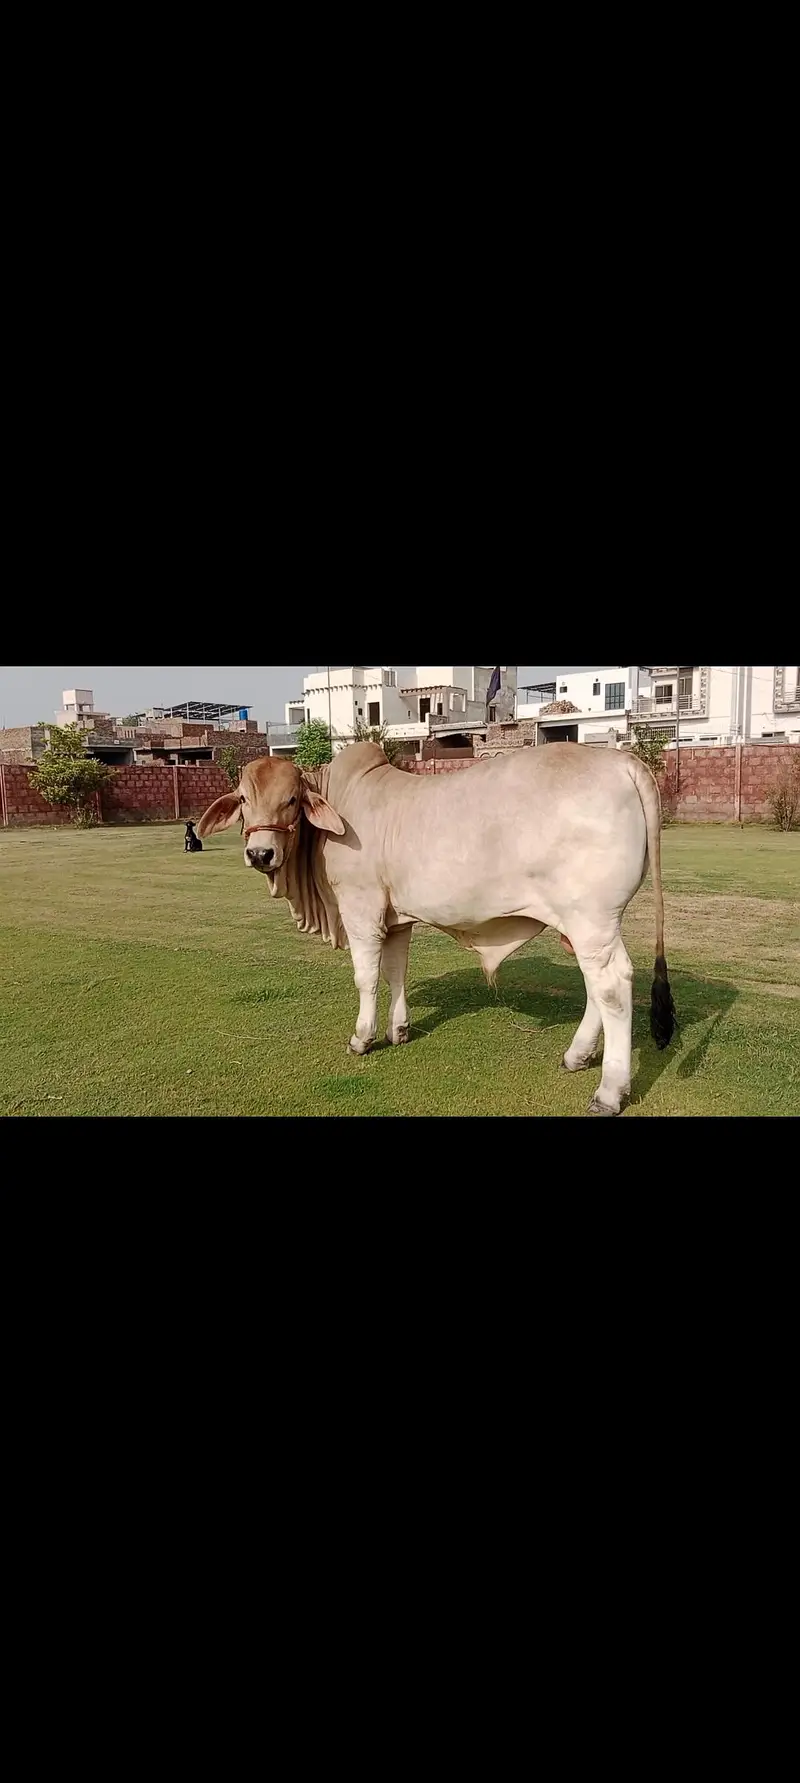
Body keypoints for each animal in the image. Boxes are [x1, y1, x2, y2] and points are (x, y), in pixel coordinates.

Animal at [196, 744, 676, 1115]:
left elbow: (366, 977)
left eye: (292, 799)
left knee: (612, 986)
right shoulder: (396, 920)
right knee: (599, 986)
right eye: (243, 798)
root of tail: (622, 762)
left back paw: (610, 1092)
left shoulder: (360, 908)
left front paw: (362, 1038)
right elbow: (396, 972)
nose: (261, 853)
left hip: (590, 919)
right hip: (585, 927)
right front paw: (399, 1030)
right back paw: (577, 1056)